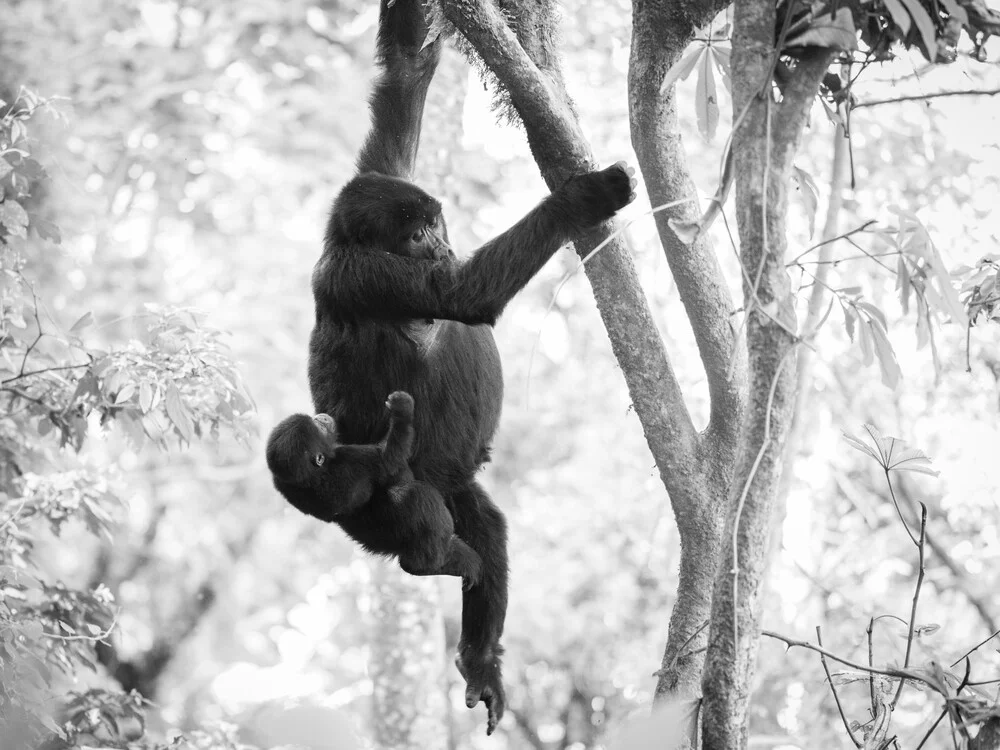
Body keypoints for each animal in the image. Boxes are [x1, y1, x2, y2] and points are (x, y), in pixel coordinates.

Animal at [266, 390, 484, 592]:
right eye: (317, 428)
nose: (321, 418)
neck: (312, 474)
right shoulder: (356, 461)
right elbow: (390, 457)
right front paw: (401, 410)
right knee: (419, 498)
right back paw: (430, 563)